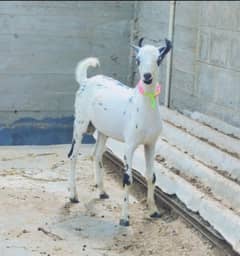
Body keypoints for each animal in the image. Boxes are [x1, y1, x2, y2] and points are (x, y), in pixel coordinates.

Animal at [68, 37, 172, 226]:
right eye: (138, 59)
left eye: (159, 59)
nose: (147, 77)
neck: (142, 108)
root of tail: (85, 81)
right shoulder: (129, 145)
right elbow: (127, 179)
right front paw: (124, 218)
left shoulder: (151, 144)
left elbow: (151, 176)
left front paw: (154, 211)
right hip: (80, 123)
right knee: (72, 155)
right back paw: (73, 195)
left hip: (103, 130)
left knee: (96, 154)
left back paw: (102, 192)